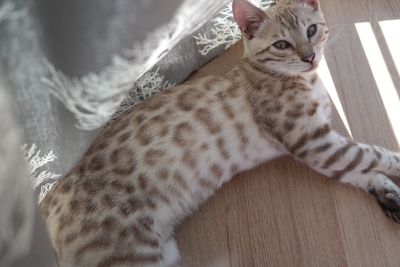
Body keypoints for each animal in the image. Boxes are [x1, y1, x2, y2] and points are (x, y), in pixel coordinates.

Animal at [40, 0, 400, 266]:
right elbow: (374, 154)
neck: (307, 81)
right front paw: (393, 170)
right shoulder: (313, 142)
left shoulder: (323, 149)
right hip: (138, 258)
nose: (309, 56)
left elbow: (359, 168)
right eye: (282, 44)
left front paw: (387, 193)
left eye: (311, 30)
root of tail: (48, 198)